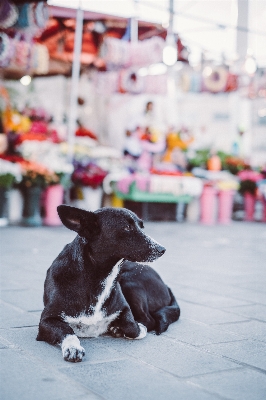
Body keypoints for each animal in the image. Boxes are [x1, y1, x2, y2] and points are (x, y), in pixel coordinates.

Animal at [36, 206, 180, 362]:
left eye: (141, 227)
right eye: (127, 227)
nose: (162, 249)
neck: (97, 278)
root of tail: (166, 286)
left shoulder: (125, 309)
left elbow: (132, 326)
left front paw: (134, 328)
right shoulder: (46, 320)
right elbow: (67, 330)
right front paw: (73, 347)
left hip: (130, 283)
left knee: (149, 319)